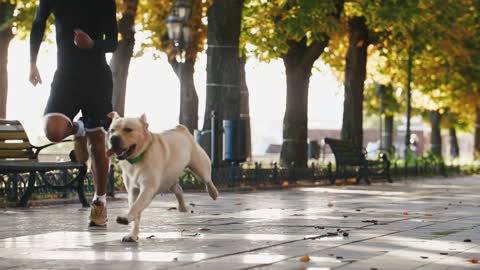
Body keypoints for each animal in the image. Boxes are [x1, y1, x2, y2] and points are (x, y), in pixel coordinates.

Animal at [107, 112, 219, 243]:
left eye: (128, 129)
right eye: (112, 130)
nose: (113, 138)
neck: (137, 158)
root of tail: (180, 129)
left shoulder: (147, 188)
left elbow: (136, 206)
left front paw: (126, 217)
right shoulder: (133, 191)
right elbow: (136, 212)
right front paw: (133, 235)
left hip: (200, 166)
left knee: (207, 179)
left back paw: (213, 193)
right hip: (168, 179)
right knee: (178, 189)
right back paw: (182, 207)